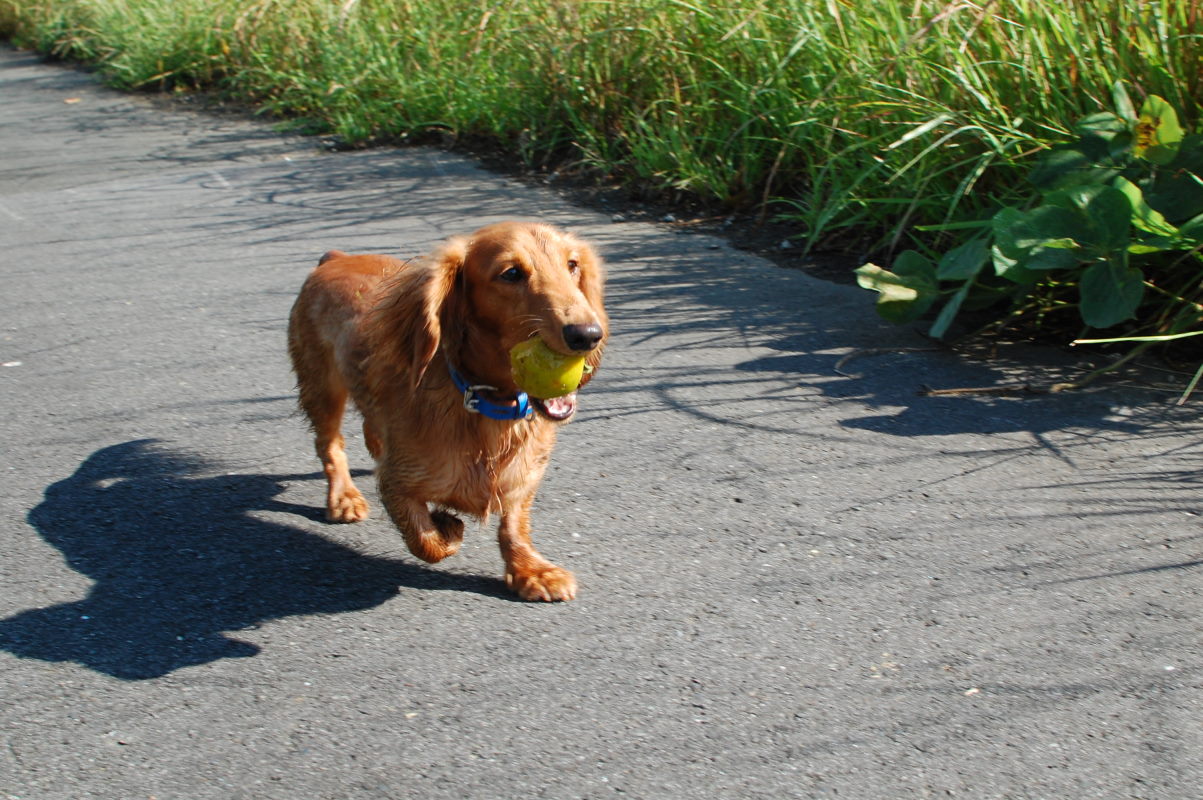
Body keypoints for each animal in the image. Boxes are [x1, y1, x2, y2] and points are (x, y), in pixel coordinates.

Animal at [286, 222, 606, 599]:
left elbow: (513, 524)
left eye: (572, 265)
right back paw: (343, 498)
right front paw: (448, 526)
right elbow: (425, 539)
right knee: (331, 446)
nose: (588, 335)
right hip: (322, 389)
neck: (488, 410)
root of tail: (337, 258)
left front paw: (531, 570)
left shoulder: (524, 478)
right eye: (511, 273)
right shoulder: (397, 484)